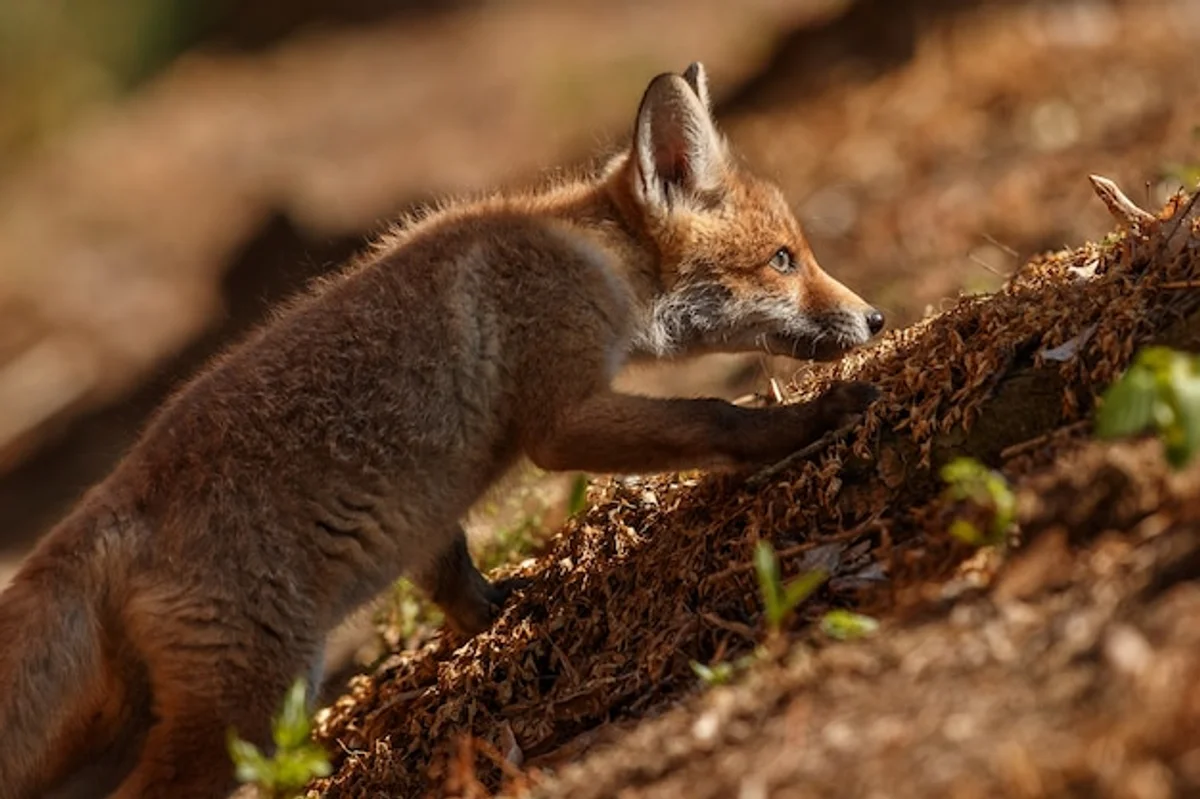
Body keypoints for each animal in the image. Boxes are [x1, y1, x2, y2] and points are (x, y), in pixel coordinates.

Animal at [0, 62, 883, 798]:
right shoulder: (560, 421)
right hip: (251, 705)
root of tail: (114, 495)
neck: (589, 258)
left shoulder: (425, 513)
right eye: (783, 260)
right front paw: (811, 419)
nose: (874, 317)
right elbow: (715, 415)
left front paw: (501, 617)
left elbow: (454, 581)